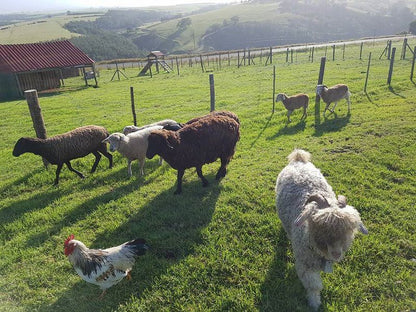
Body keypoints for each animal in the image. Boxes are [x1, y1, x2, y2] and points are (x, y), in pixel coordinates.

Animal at [276, 149, 368, 310]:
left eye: (349, 229)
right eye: (319, 225)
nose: (336, 253)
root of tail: (298, 158)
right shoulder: (305, 265)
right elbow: (314, 286)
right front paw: (314, 304)